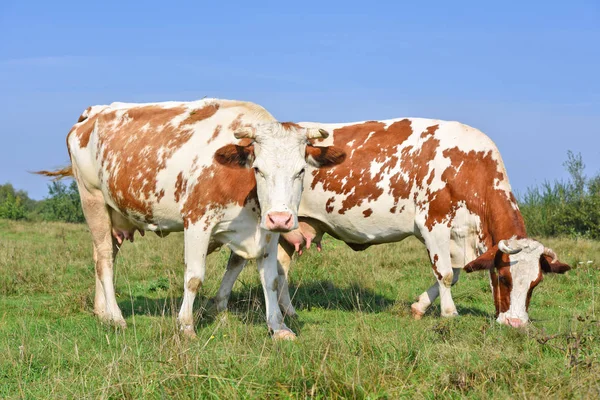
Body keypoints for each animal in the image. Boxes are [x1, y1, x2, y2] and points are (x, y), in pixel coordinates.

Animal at [37, 98, 344, 340]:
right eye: (258, 169)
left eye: (301, 170)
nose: (280, 217)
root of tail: (93, 112)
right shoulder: (197, 220)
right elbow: (195, 276)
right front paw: (186, 326)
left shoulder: (266, 231)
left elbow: (270, 279)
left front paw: (279, 327)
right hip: (93, 199)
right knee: (104, 260)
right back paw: (116, 316)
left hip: (115, 213)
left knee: (102, 255)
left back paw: (101, 313)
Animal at [213, 116, 568, 328]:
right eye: (505, 278)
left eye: (535, 283)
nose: (516, 324)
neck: (467, 165)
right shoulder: (433, 223)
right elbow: (445, 273)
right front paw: (449, 314)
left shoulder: (460, 237)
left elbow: (454, 274)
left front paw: (420, 306)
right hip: (266, 219)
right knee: (240, 260)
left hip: (292, 224)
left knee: (281, 266)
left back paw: (288, 310)